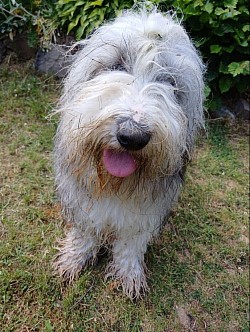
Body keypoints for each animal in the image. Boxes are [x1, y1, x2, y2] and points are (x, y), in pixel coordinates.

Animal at [53, 7, 205, 300]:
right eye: (116, 65)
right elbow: (85, 233)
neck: (115, 185)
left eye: (170, 81)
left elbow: (131, 244)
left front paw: (128, 274)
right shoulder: (82, 201)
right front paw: (74, 259)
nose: (132, 135)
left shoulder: (145, 213)